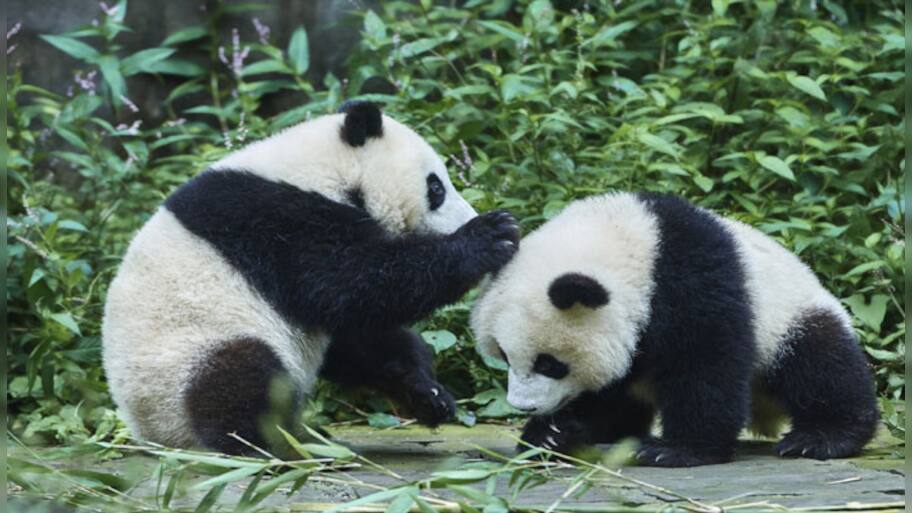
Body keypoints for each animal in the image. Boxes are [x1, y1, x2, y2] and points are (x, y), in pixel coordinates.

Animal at [102, 102, 520, 455]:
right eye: (436, 187)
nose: (467, 216)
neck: (320, 171)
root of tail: (154, 436)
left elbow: (358, 333)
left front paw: (429, 395)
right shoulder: (278, 223)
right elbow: (356, 282)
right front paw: (490, 236)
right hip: (184, 359)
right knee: (240, 379)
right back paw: (265, 444)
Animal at [470, 192, 879, 467]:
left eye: (549, 363)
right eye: (504, 355)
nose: (524, 405)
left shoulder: (691, 277)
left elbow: (705, 362)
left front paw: (677, 449)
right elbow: (608, 392)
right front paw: (551, 434)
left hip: (789, 315)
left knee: (820, 364)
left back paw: (819, 438)